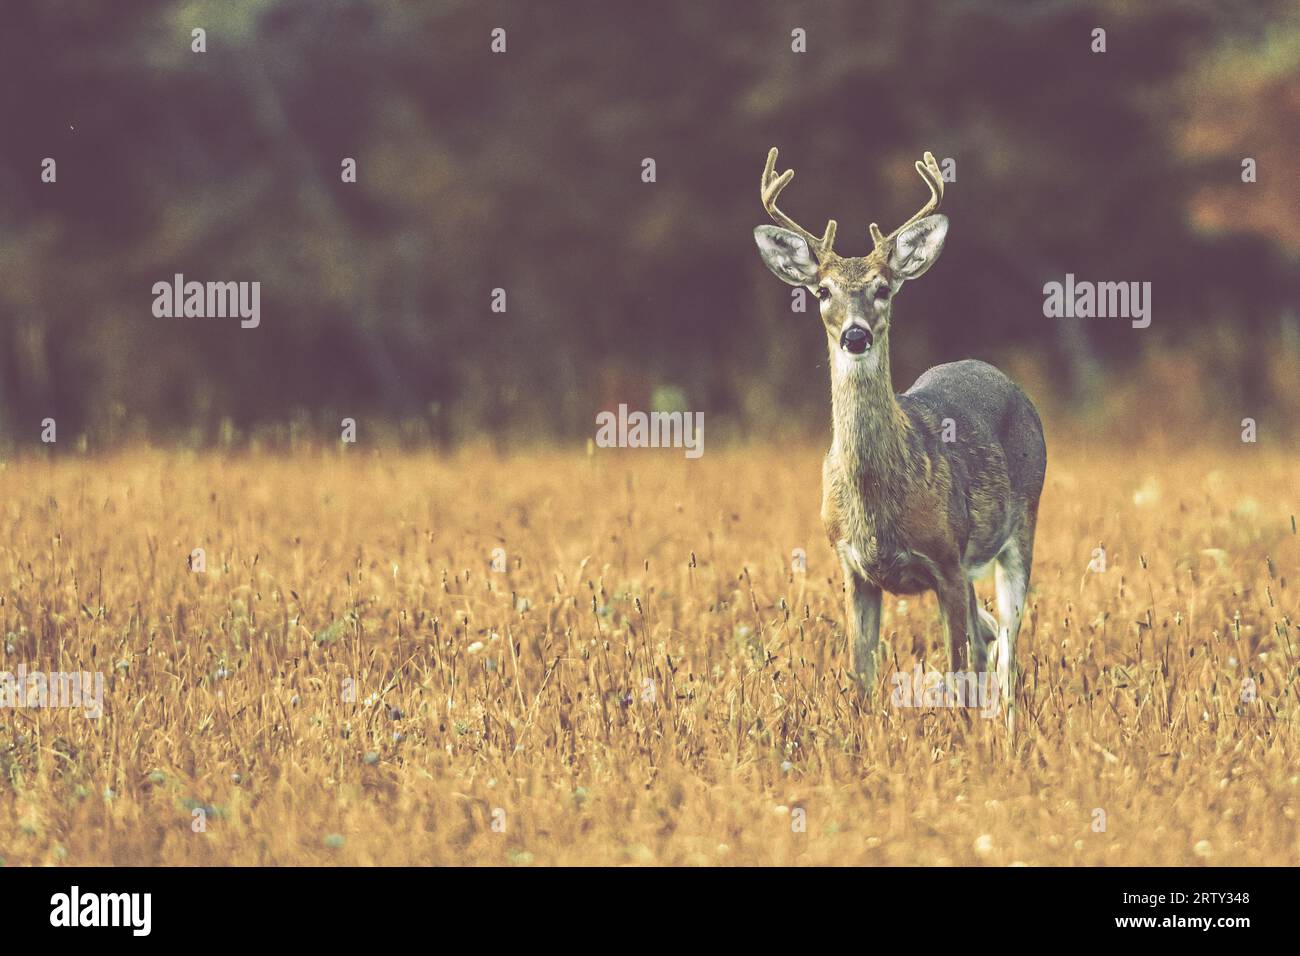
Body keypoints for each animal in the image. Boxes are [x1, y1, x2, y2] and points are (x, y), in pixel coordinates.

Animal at [754, 149, 1045, 728]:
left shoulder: (948, 559)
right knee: (990, 639)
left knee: (1005, 646)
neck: (877, 503)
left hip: (1021, 526)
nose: (855, 334)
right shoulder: (852, 566)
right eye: (822, 291)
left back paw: (1005, 726)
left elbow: (957, 670)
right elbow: (861, 672)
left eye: (883, 288)